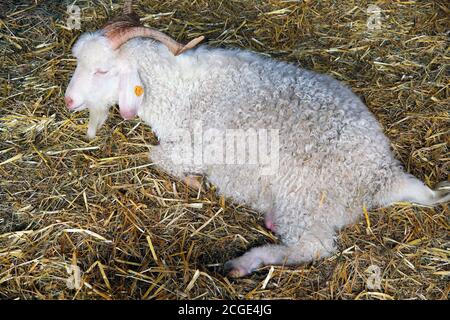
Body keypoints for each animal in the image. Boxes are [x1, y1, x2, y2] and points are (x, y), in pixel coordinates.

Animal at [64, 0, 450, 278]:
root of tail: (384, 174)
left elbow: (154, 154)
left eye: (102, 71)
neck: (181, 91)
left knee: (312, 247)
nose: (68, 100)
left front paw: (194, 181)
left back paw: (244, 263)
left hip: (305, 198)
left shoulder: (196, 148)